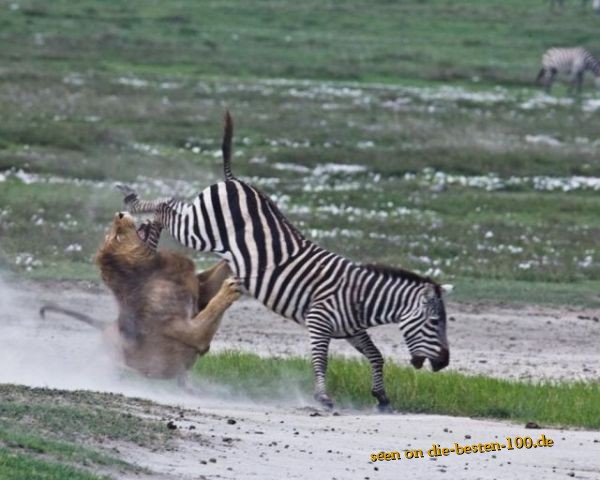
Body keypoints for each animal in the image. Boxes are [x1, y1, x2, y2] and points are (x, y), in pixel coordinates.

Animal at [38, 212, 241, 384]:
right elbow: (211, 310)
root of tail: (105, 327)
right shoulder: (188, 331)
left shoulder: (201, 289)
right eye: (117, 237)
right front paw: (230, 288)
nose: (119, 214)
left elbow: (222, 265)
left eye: (113, 234)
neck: (155, 268)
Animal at [117, 112, 450, 408]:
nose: (445, 364)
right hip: (199, 229)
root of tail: (235, 180)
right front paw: (323, 398)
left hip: (199, 221)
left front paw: (381, 397)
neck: (360, 298)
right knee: (165, 207)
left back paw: (145, 232)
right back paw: (134, 207)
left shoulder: (353, 330)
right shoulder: (319, 321)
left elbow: (376, 356)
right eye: (435, 323)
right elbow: (321, 359)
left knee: (169, 206)